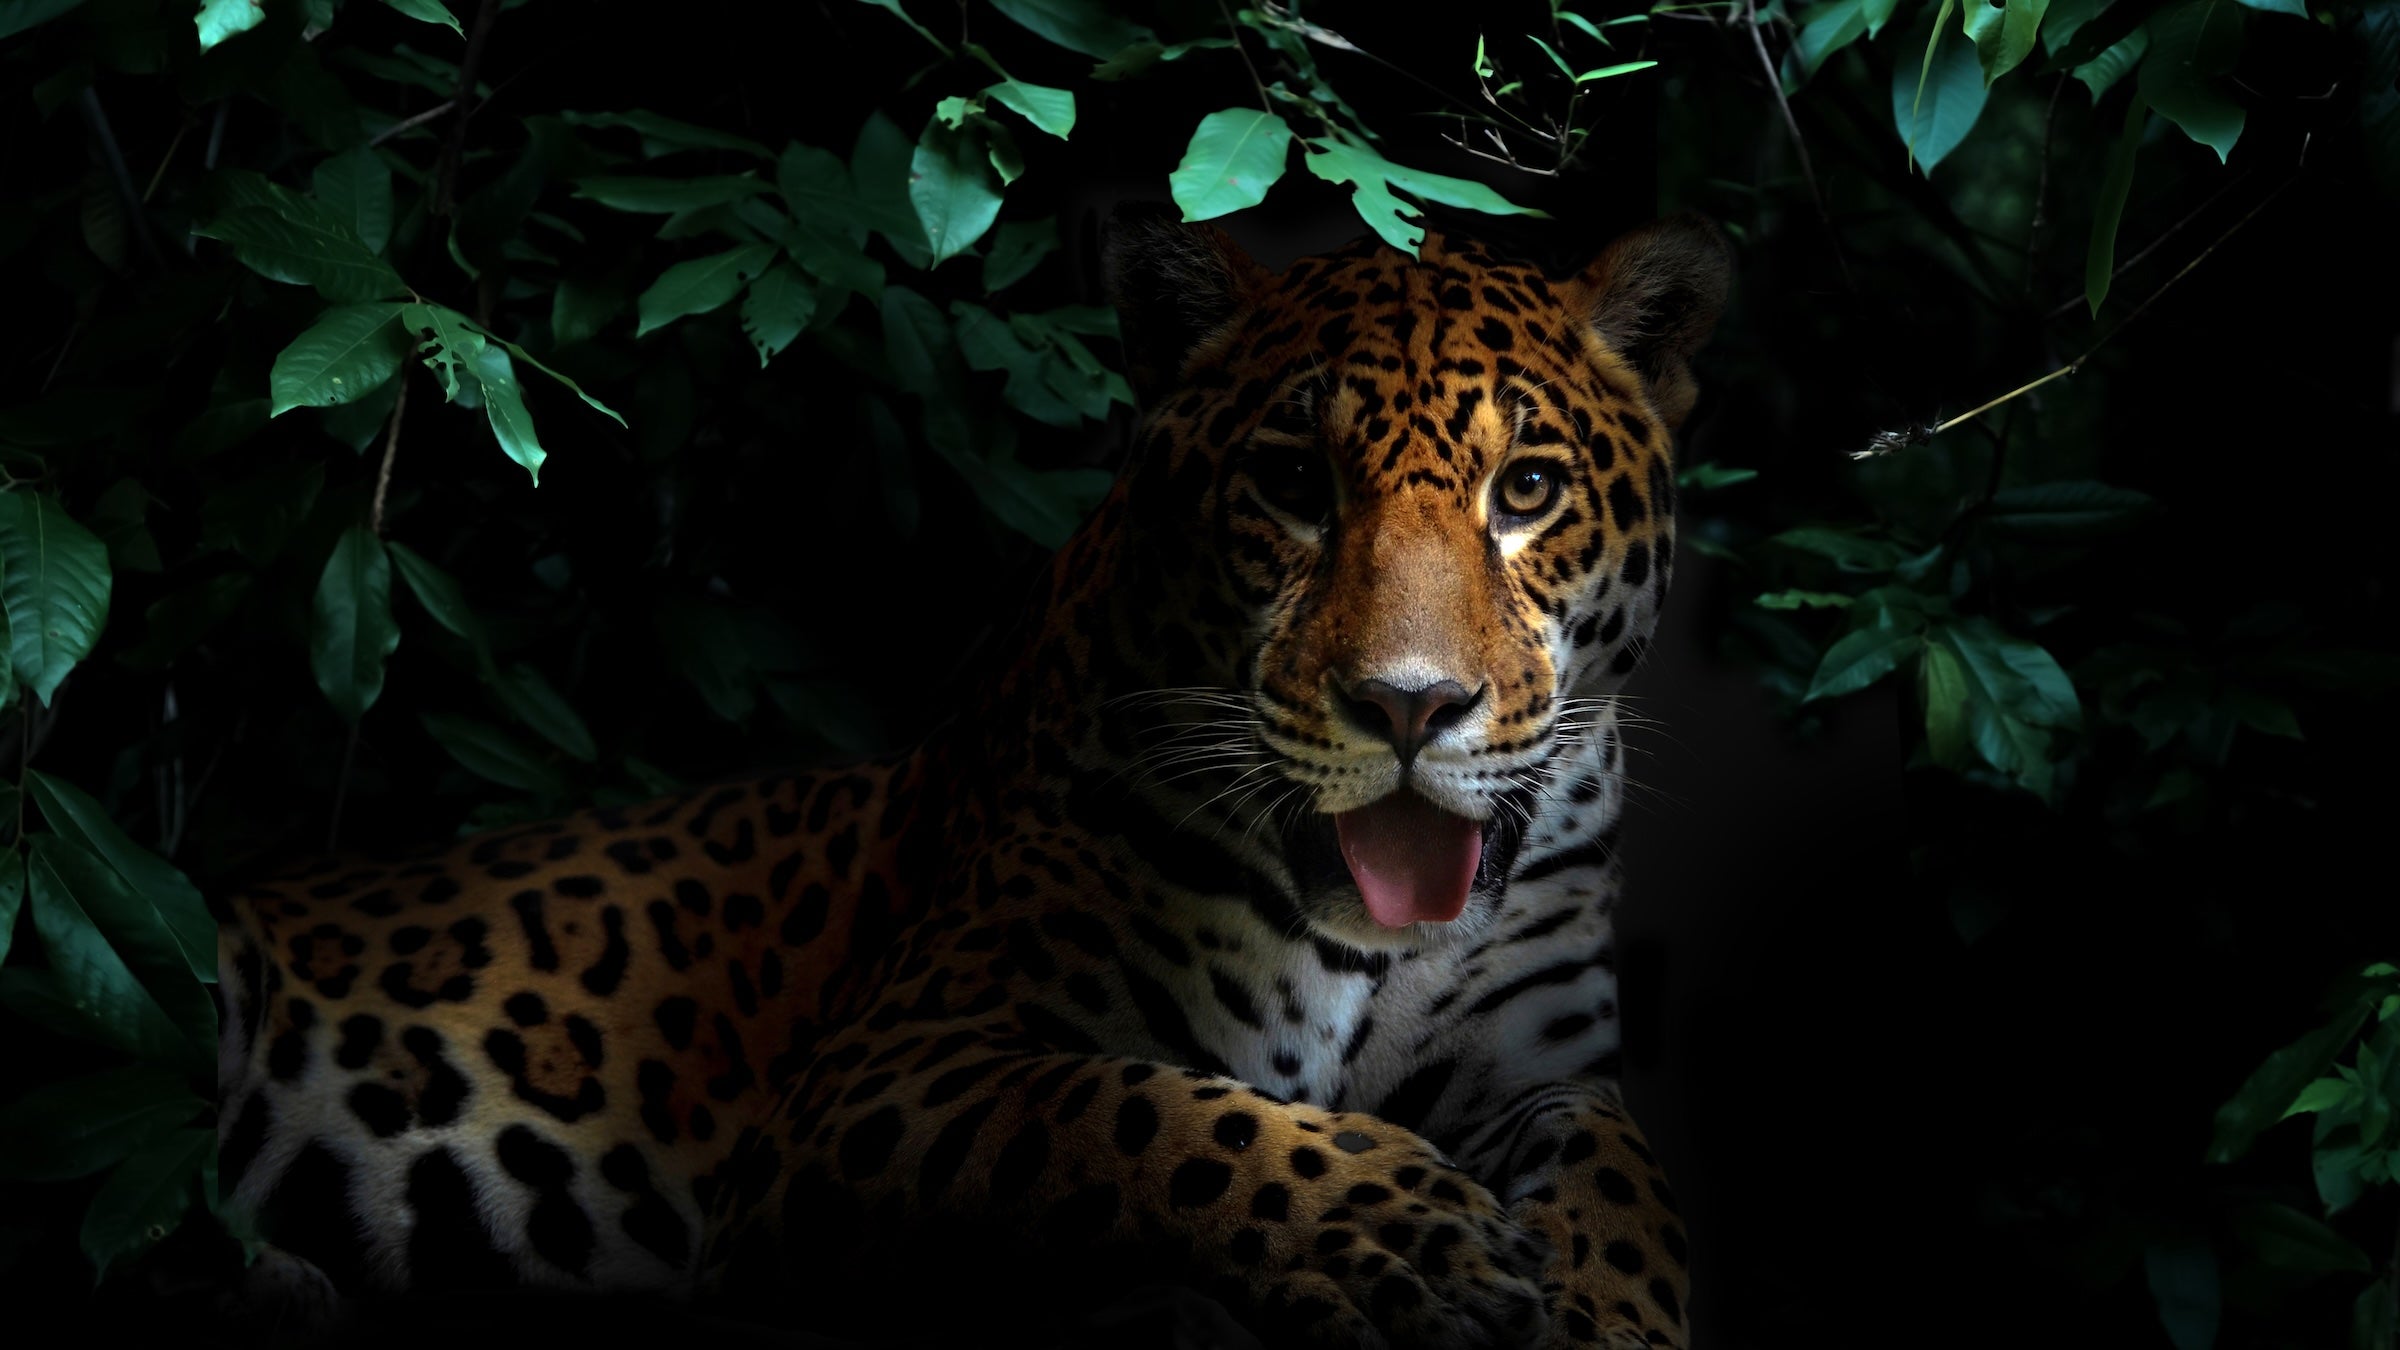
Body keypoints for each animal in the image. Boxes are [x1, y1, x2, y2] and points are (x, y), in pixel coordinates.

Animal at [214, 204, 1730, 1349]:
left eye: (1526, 490)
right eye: (1296, 483)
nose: (1408, 705)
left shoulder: (1542, 1069)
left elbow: (1627, 1173)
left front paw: (1606, 1309)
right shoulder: (888, 1072)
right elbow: (1139, 1114)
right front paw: (1402, 1237)